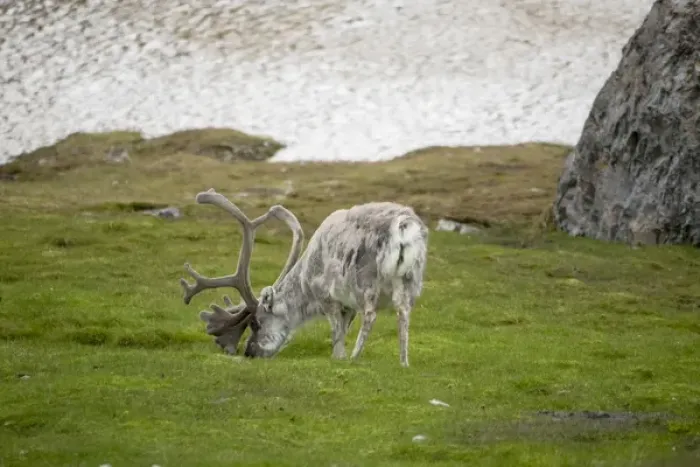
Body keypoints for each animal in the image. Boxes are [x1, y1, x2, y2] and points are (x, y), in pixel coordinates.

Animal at [179, 188, 428, 367]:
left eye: (256, 322)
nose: (250, 352)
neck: (305, 287)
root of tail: (404, 227)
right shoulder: (347, 305)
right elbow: (343, 328)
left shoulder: (327, 296)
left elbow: (336, 331)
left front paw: (339, 357)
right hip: (408, 279)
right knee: (403, 313)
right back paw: (404, 362)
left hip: (366, 281)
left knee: (371, 315)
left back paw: (356, 357)